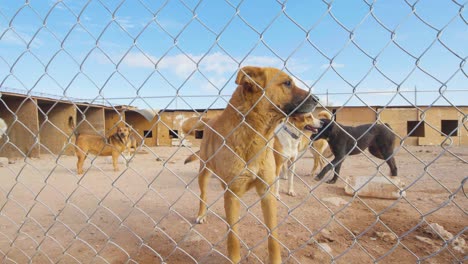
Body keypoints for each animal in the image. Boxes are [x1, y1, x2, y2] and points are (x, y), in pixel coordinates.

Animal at [185, 66, 320, 264]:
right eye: (287, 83)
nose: (317, 99)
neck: (255, 134)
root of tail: (210, 121)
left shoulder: (266, 192)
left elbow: (273, 236)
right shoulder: (233, 190)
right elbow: (233, 238)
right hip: (205, 172)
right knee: (203, 195)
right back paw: (202, 214)